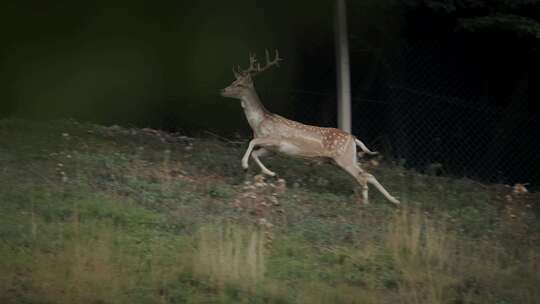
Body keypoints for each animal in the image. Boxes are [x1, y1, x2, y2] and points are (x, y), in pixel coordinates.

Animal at [220, 50, 400, 205]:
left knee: (363, 177)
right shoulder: (272, 149)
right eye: (233, 81)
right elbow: (255, 153)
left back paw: (365, 203)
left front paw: (245, 166)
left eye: (239, 84)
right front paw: (270, 173)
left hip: (344, 158)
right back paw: (394, 201)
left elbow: (251, 142)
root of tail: (354, 138)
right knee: (368, 175)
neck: (259, 123)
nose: (222, 90)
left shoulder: (276, 139)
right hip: (346, 159)